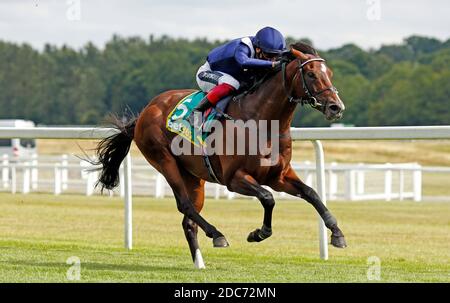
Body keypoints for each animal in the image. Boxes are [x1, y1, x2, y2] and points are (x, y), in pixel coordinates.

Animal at [94, 42, 348, 268]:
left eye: (330, 73)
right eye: (311, 74)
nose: (336, 107)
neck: (261, 121)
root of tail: (146, 111)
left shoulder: (279, 176)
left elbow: (311, 193)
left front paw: (337, 233)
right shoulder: (234, 179)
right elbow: (268, 198)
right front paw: (259, 233)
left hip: (193, 176)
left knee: (189, 220)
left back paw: (200, 263)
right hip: (164, 160)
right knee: (185, 205)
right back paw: (217, 234)